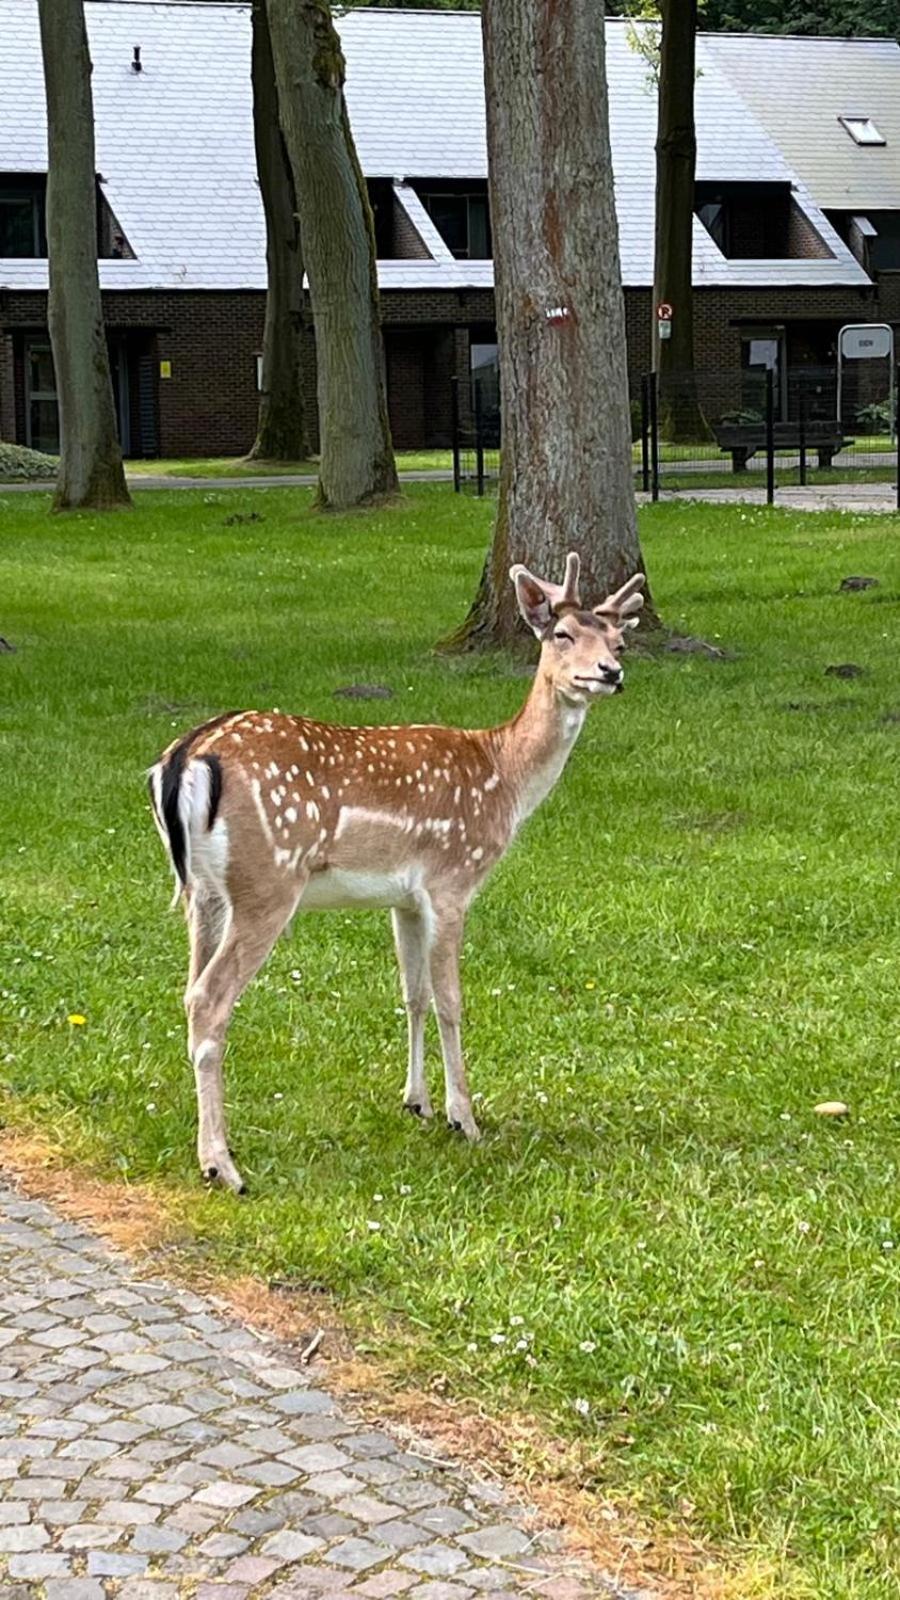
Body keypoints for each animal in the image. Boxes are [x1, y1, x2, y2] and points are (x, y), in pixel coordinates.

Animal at [148, 550, 637, 1190]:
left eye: (618, 640)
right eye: (562, 635)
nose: (609, 672)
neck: (504, 780)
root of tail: (185, 758)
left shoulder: (404, 898)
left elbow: (413, 993)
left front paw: (417, 1101)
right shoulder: (453, 880)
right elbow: (451, 999)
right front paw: (464, 1117)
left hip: (203, 894)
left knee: (188, 991)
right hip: (268, 883)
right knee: (210, 998)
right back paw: (222, 1164)